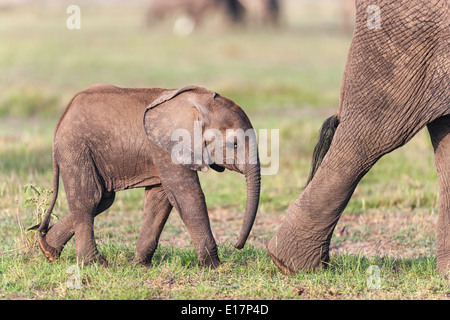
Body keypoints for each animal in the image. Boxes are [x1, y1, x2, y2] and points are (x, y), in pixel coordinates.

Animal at [32, 84, 260, 268]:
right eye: (234, 144)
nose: (237, 245)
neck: (197, 103)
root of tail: (62, 118)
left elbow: (160, 200)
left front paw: (139, 265)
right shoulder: (167, 147)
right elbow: (187, 196)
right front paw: (214, 266)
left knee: (103, 199)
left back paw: (48, 250)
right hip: (76, 148)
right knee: (90, 199)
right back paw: (94, 264)